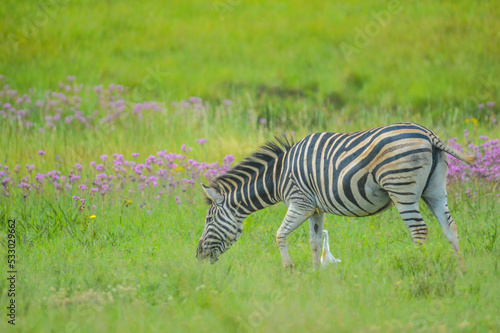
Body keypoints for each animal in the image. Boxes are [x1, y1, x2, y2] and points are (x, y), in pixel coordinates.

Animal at [194, 123, 472, 268]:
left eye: (208, 220)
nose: (198, 257)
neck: (279, 175)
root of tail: (428, 134)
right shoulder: (316, 209)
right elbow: (315, 242)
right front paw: (316, 274)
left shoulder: (301, 202)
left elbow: (280, 234)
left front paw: (290, 270)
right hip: (434, 190)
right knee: (450, 227)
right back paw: (461, 270)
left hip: (402, 189)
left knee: (419, 230)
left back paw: (418, 265)